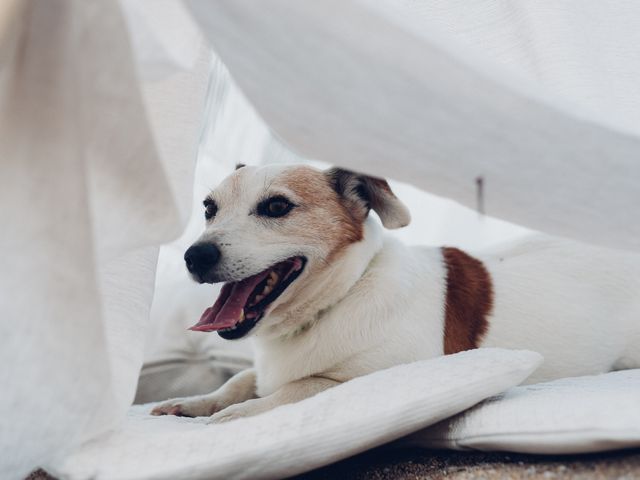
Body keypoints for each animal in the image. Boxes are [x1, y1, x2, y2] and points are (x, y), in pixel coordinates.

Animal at [151, 163, 640, 422]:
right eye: (209, 209)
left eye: (276, 206)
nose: (194, 255)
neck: (341, 296)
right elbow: (240, 379)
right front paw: (196, 402)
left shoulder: (389, 373)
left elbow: (306, 386)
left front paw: (238, 413)